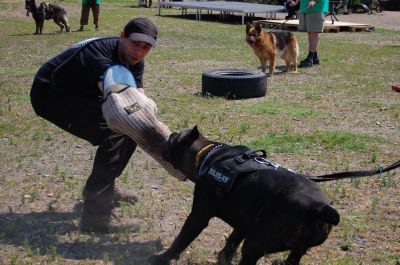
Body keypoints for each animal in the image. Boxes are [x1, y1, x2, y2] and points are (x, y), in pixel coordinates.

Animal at [151, 126, 400, 264]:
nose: (164, 138)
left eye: (173, 137)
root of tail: (319, 208)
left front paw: (162, 258)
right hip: (293, 249)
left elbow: (181, 241)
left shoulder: (198, 216)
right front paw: (224, 256)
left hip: (254, 245)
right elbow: (232, 240)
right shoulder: (244, 222)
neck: (207, 155)